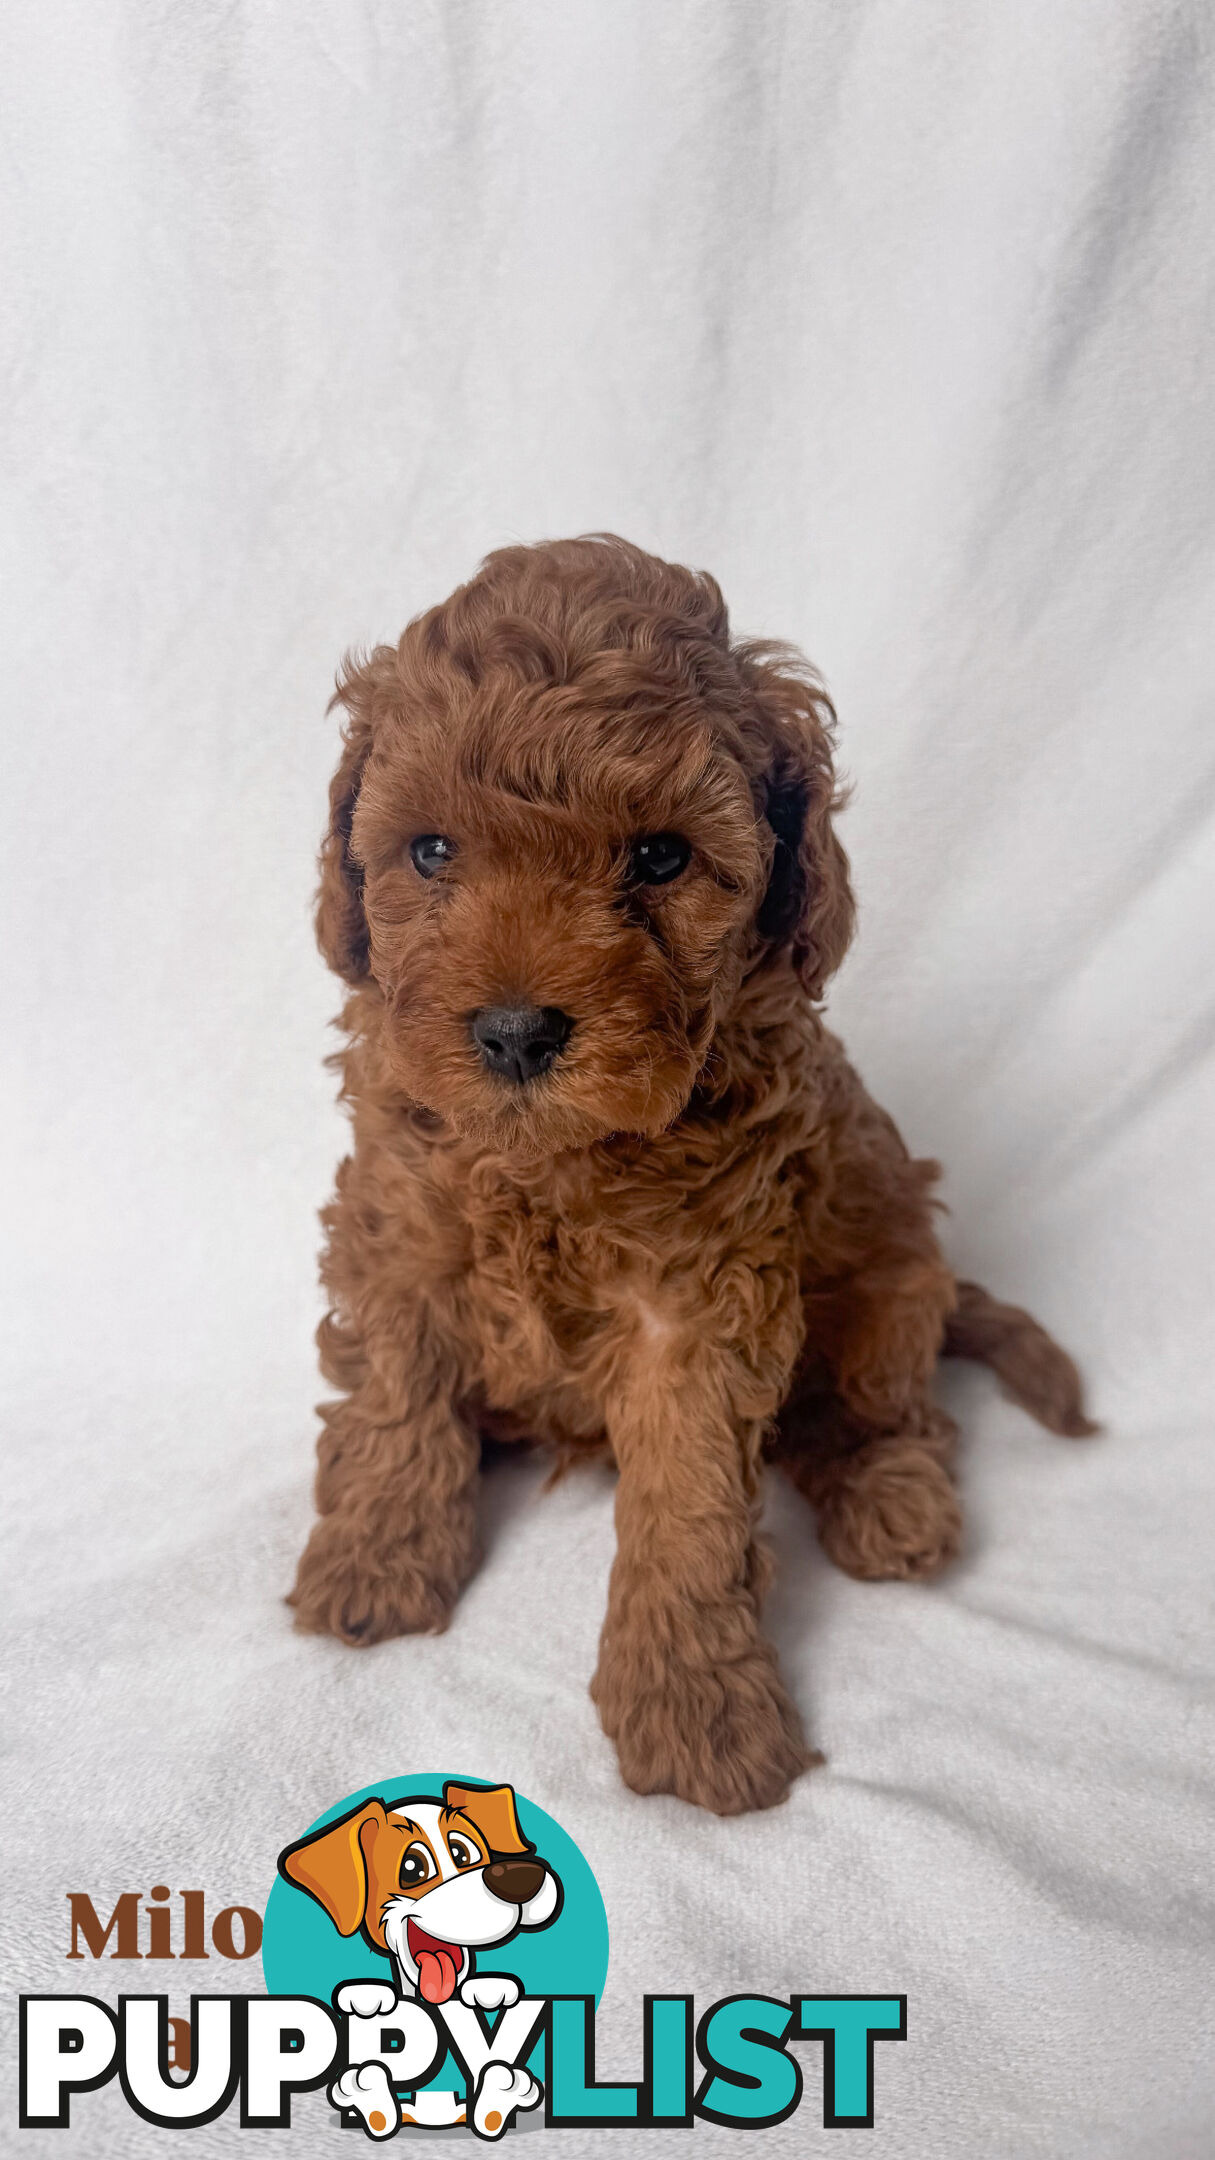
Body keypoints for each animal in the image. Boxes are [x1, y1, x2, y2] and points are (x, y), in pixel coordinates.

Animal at [287, 531, 1093, 1814]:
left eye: (661, 857)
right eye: (430, 850)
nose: (514, 1032)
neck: (548, 1165)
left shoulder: (698, 1307)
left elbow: (692, 1506)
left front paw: (697, 1709)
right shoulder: (399, 1233)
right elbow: (396, 1406)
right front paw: (373, 1560)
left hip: (894, 1282)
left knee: (884, 1411)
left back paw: (891, 1498)